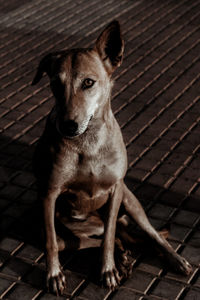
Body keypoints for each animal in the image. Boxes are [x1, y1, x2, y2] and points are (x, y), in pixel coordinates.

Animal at [32, 20, 193, 296]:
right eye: (55, 83)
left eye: (88, 82)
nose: (68, 126)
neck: (88, 142)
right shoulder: (49, 194)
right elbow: (51, 242)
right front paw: (53, 275)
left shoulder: (116, 189)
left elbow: (107, 237)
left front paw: (107, 270)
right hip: (68, 230)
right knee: (92, 239)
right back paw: (123, 257)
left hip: (130, 202)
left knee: (147, 234)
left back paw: (173, 258)